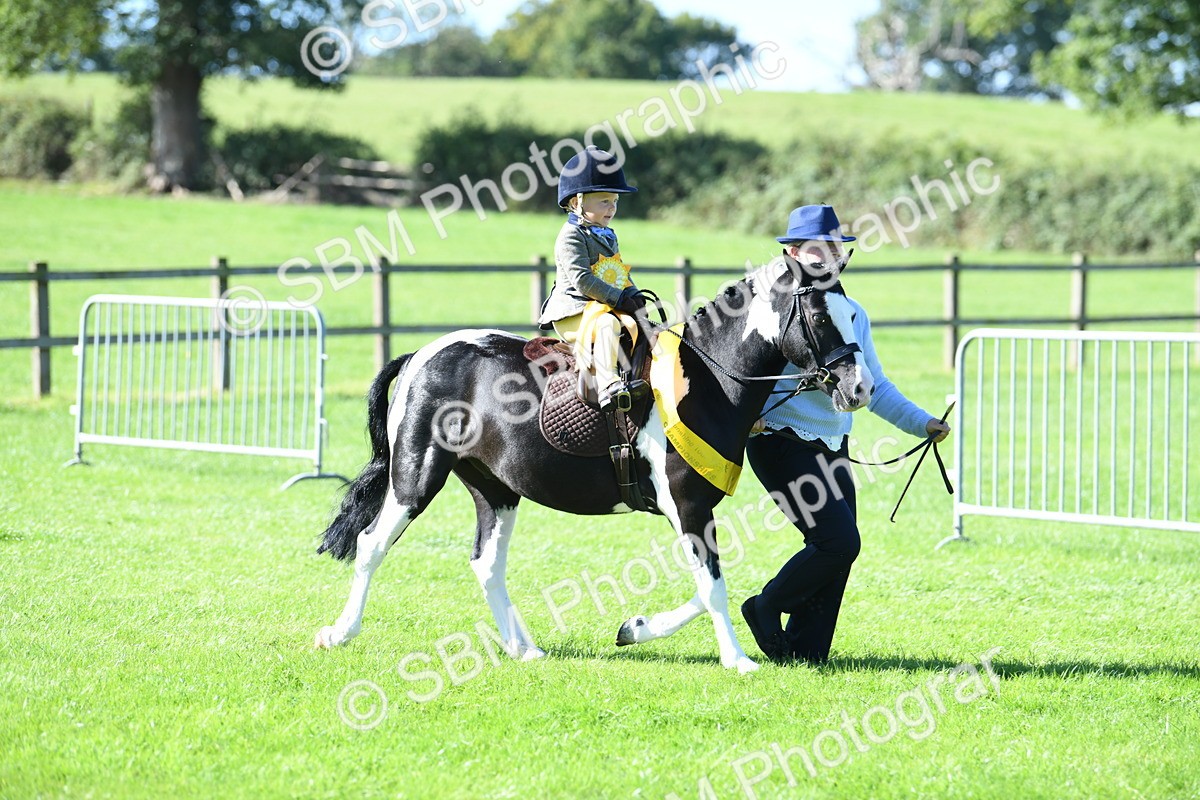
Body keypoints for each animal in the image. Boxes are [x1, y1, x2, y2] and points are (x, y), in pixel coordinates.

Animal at [314, 257, 873, 673]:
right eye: (821, 318)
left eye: (851, 315)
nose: (860, 388)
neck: (705, 379)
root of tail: (420, 355)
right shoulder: (688, 507)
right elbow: (712, 585)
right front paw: (737, 659)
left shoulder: (692, 512)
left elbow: (707, 583)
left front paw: (636, 628)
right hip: (416, 476)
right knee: (371, 545)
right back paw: (340, 632)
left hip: (496, 490)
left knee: (486, 564)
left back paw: (524, 649)